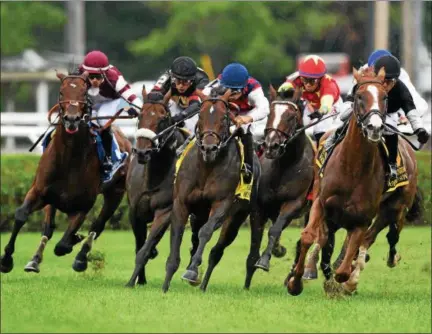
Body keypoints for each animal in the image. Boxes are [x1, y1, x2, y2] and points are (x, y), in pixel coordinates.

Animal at [0, 70, 132, 274]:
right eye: (62, 92)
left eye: (84, 93)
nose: (71, 119)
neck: (69, 158)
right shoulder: (39, 191)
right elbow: (22, 215)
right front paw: (6, 260)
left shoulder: (83, 205)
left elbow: (63, 245)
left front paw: (74, 243)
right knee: (49, 228)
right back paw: (35, 260)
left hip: (115, 193)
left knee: (98, 226)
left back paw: (80, 257)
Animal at [123, 88, 187, 288]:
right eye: (140, 115)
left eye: (162, 117)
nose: (143, 152)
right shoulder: (134, 211)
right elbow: (140, 244)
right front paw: (138, 280)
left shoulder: (165, 211)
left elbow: (145, 247)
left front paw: (131, 281)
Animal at [161, 88, 260, 292]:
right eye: (200, 114)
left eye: (224, 117)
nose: (209, 148)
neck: (207, 167)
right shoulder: (181, 203)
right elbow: (177, 236)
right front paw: (165, 286)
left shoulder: (222, 204)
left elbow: (206, 232)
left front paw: (192, 270)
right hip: (198, 214)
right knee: (195, 239)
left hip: (236, 218)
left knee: (216, 251)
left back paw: (202, 283)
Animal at [246, 87, 314, 288]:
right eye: (270, 114)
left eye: (291, 116)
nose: (271, 146)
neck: (284, 166)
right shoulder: (259, 207)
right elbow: (255, 240)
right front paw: (247, 282)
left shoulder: (294, 203)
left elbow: (274, 230)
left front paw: (264, 260)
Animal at [286, 67, 418, 294]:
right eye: (359, 96)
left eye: (384, 97)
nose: (375, 127)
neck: (352, 168)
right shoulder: (321, 203)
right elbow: (309, 236)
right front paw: (295, 281)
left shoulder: (362, 218)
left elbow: (345, 265)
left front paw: (343, 282)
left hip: (394, 207)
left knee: (377, 237)